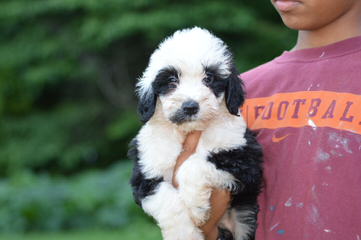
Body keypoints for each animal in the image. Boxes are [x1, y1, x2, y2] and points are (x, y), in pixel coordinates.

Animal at [129, 27, 262, 240]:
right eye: (172, 80)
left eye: (208, 79)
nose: (190, 106)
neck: (188, 130)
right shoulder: (146, 174)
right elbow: (167, 203)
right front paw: (184, 233)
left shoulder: (243, 159)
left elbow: (194, 164)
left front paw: (196, 207)